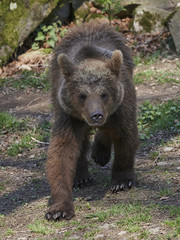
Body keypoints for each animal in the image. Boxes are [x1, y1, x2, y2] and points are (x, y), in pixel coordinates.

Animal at [45, 21, 139, 220]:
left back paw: (100, 153)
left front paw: (121, 181)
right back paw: (81, 177)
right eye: (82, 95)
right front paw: (59, 210)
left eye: (104, 94)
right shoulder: (68, 115)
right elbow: (62, 152)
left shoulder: (121, 106)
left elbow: (125, 136)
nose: (96, 115)